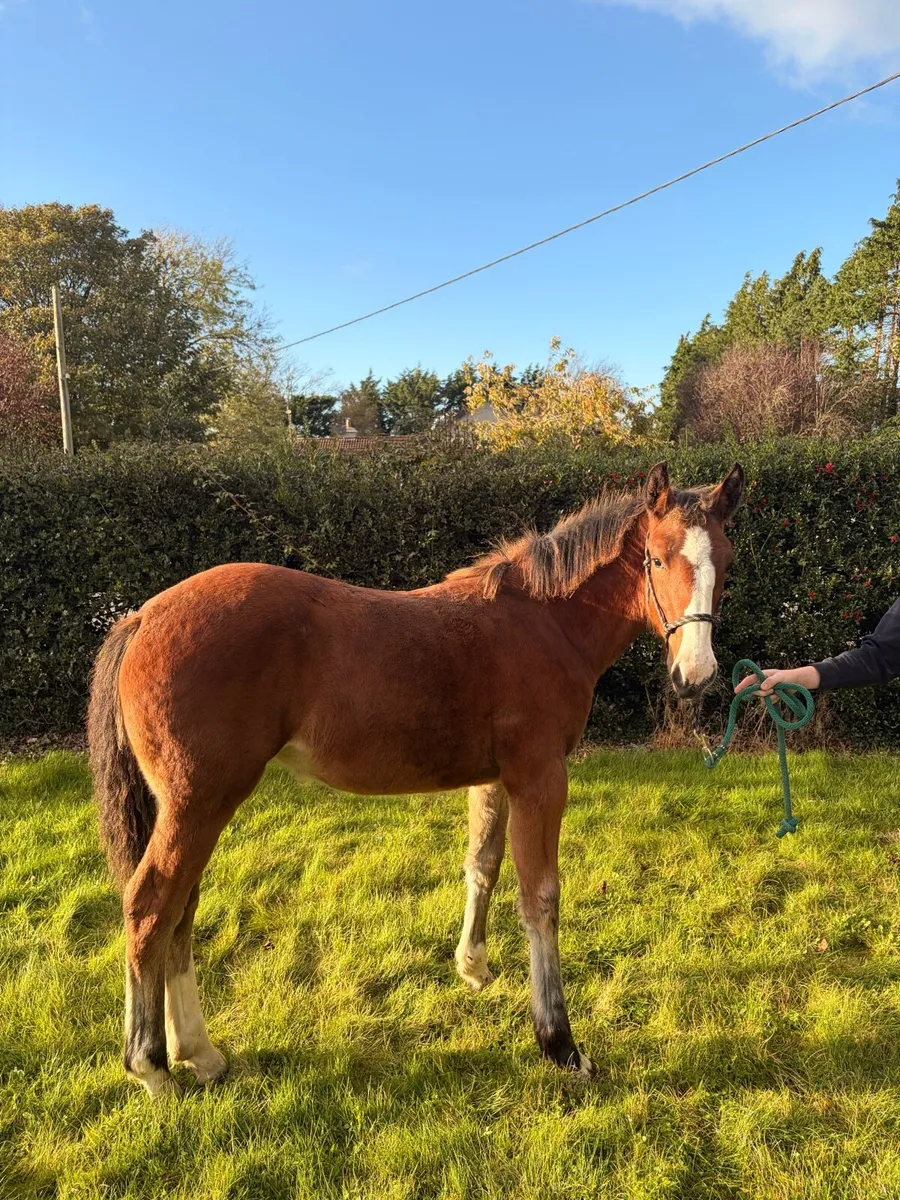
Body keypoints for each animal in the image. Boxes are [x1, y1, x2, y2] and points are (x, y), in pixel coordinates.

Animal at [87, 459, 744, 1097]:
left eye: (728, 562)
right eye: (656, 559)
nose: (696, 674)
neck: (544, 620)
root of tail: (142, 616)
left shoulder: (495, 779)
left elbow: (482, 864)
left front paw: (472, 967)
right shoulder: (539, 777)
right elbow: (541, 898)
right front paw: (560, 1045)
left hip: (194, 807)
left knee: (181, 910)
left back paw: (198, 1053)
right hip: (199, 802)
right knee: (151, 906)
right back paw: (150, 1067)